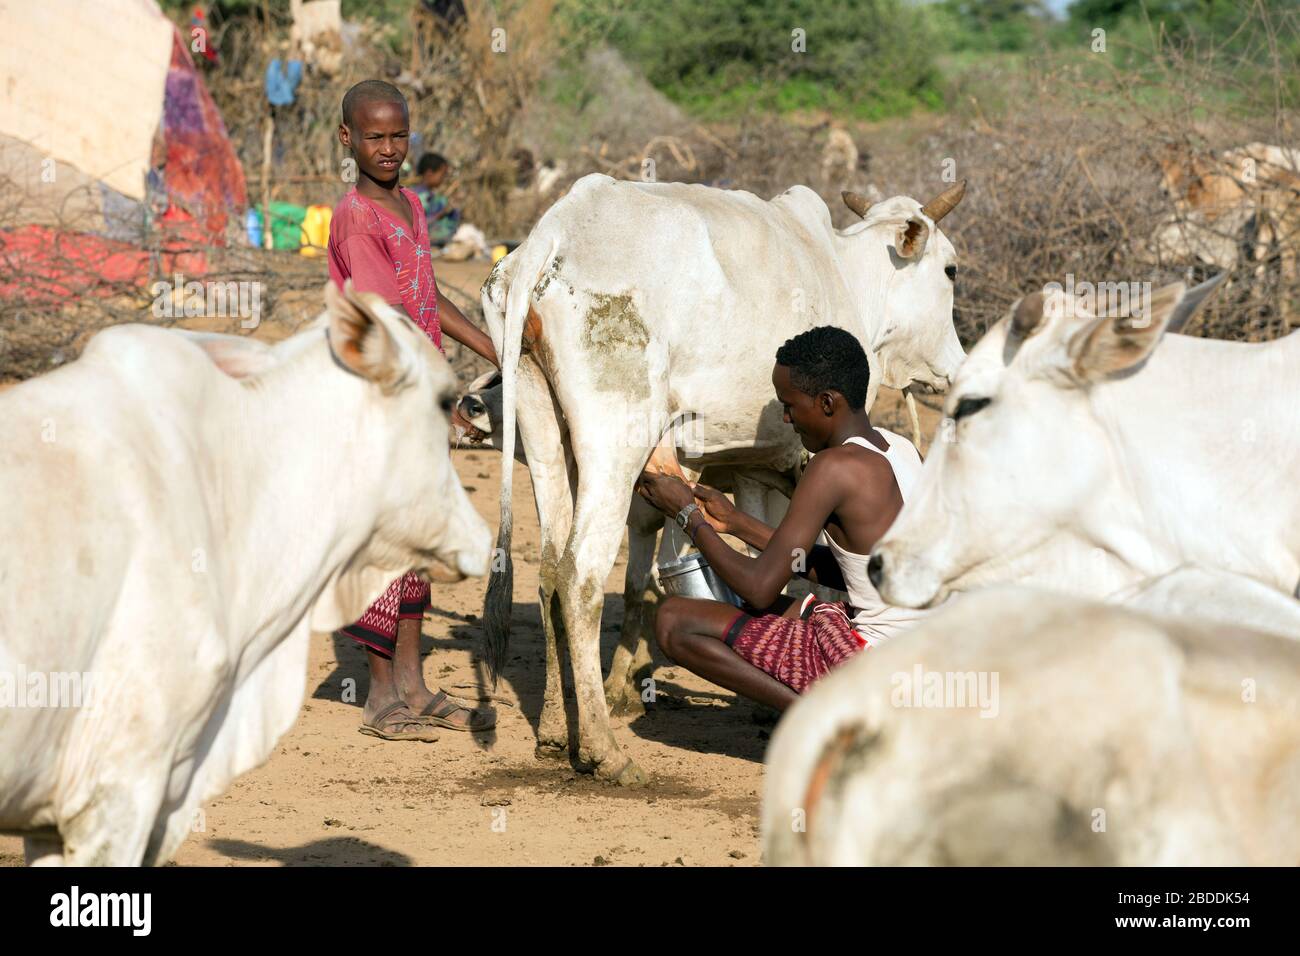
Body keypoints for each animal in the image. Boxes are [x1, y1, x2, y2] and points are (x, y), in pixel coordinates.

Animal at [478, 171, 967, 785]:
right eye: (950, 270)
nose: (957, 364)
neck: (847, 274)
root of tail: (553, 232)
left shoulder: (753, 469)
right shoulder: (793, 464)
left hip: (540, 424)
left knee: (546, 572)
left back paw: (549, 731)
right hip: (616, 437)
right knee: (580, 575)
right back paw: (604, 751)